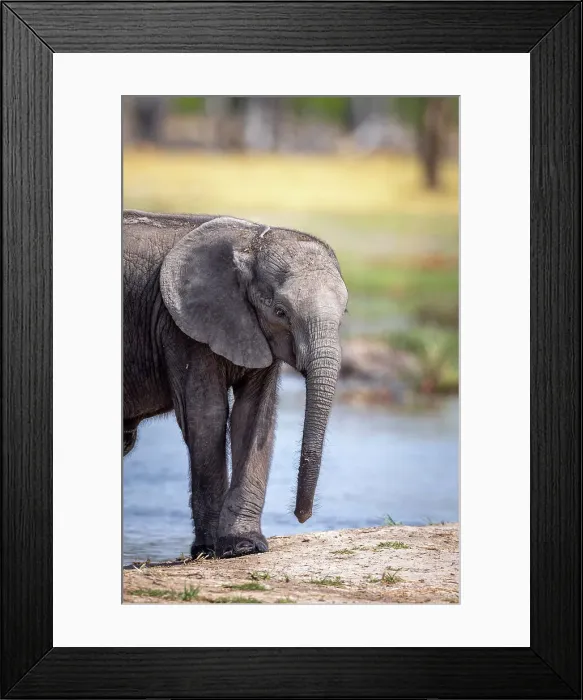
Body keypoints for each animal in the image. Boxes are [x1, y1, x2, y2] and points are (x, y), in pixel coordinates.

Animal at [123, 210, 348, 558]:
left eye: (345, 313)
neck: (252, 240)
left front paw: (244, 547)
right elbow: (208, 417)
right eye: (280, 312)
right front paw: (210, 550)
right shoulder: (183, 327)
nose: (302, 516)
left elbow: (253, 418)